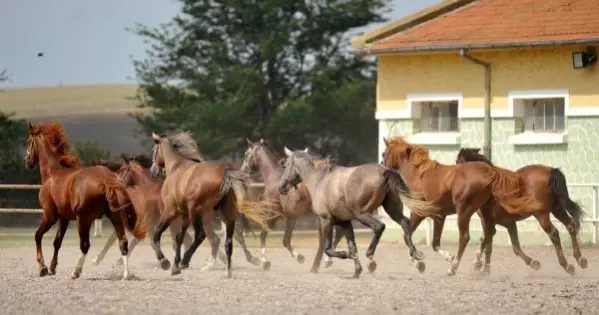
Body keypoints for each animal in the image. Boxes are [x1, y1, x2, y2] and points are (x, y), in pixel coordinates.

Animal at [25, 122, 148, 280]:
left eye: (29, 141)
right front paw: (52, 267)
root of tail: (105, 180)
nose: (27, 161)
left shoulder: (50, 215)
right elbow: (57, 242)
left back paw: (76, 271)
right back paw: (126, 274)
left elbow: (38, 236)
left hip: (84, 220)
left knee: (85, 245)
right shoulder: (64, 218)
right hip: (115, 217)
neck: (53, 173)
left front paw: (43, 267)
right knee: (123, 242)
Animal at [149, 132, 276, 278]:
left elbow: (158, 232)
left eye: (154, 150)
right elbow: (179, 238)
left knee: (202, 235)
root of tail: (225, 172)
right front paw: (175, 265)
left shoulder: (171, 211)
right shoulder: (184, 215)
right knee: (228, 241)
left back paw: (187, 261)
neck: (177, 167)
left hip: (197, 212)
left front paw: (165, 261)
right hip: (226, 214)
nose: (152, 170)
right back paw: (228, 270)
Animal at [276, 147, 440, 278]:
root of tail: (384, 171)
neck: (320, 180)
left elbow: (328, 248)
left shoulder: (325, 220)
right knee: (405, 223)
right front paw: (356, 270)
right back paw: (416, 255)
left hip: (362, 214)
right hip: (391, 209)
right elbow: (352, 245)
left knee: (379, 227)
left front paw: (345, 256)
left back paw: (371, 257)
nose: (281, 187)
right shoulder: (345, 222)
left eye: (286, 165)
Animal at [384, 137, 548, 276]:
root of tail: (490, 173)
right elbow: (434, 243)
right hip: (482, 212)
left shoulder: (419, 213)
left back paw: (455, 267)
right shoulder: (438, 216)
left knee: (465, 237)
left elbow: (407, 235)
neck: (420, 176)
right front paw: (437, 259)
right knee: (488, 234)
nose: (383, 168)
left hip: (464, 211)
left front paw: (418, 259)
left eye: (384, 153)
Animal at [458, 148, 588, 274]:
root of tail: (550, 171)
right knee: (570, 226)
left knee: (554, 233)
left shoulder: (487, 222)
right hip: (557, 209)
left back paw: (566, 265)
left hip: (541, 214)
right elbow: (513, 246)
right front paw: (533, 263)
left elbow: (486, 242)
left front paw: (478, 265)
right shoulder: (508, 222)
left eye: (458, 164)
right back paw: (580, 260)